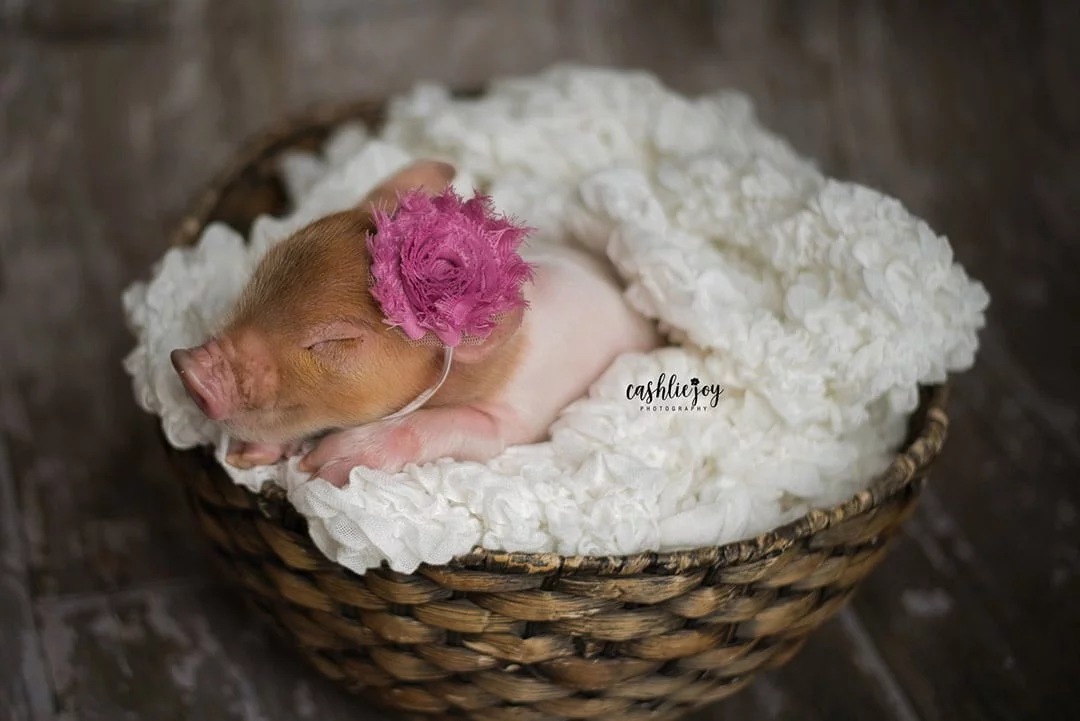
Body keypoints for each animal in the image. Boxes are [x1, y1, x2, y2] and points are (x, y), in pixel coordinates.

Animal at [170, 160, 661, 487]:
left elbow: (446, 428)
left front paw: (321, 469)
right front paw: (247, 457)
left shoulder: (510, 425)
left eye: (336, 340)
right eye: (265, 269)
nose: (187, 368)